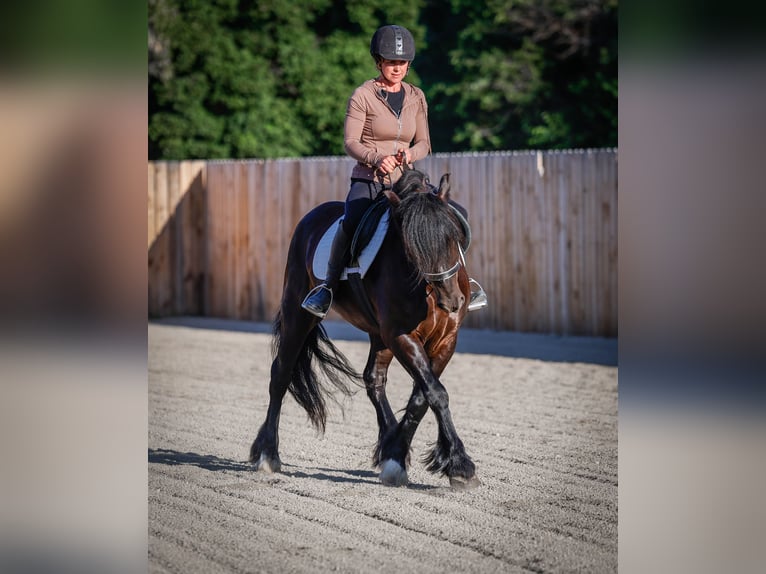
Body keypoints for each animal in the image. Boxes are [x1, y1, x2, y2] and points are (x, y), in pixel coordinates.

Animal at [249, 168, 480, 489]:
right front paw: (459, 464)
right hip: (298, 312)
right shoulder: (400, 335)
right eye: (412, 248)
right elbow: (435, 393)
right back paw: (268, 454)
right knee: (281, 374)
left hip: (377, 334)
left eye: (454, 235)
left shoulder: (446, 339)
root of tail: (312, 217)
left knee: (374, 379)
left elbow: (422, 396)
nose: (452, 301)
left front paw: (396, 455)